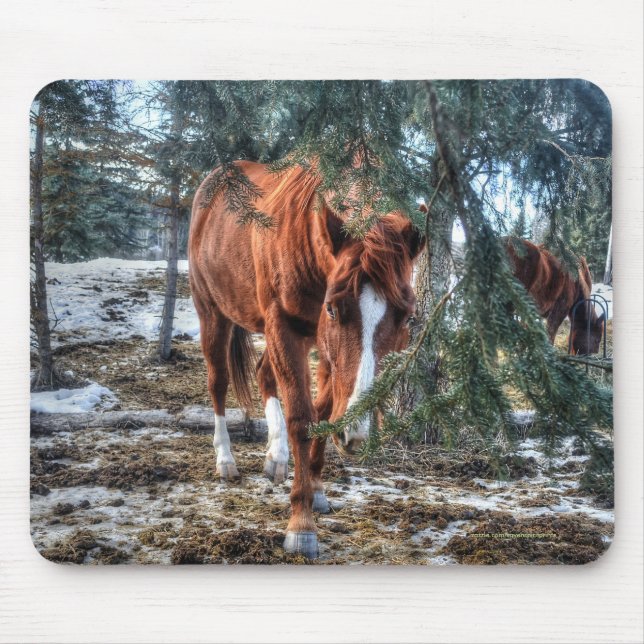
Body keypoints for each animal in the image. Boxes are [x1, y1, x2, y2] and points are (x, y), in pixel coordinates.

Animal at [189, 161, 425, 558]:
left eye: (406, 317)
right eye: (332, 308)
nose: (358, 434)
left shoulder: (324, 348)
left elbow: (324, 413)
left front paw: (316, 489)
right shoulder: (286, 327)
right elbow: (302, 418)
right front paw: (301, 525)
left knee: (264, 375)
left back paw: (276, 456)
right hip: (212, 312)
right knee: (218, 383)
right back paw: (226, 461)